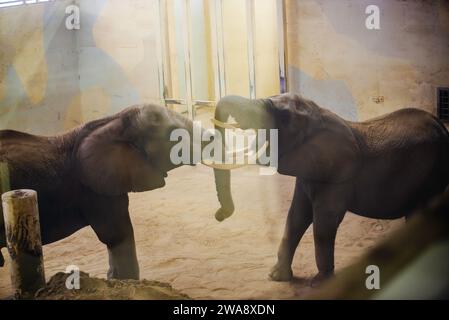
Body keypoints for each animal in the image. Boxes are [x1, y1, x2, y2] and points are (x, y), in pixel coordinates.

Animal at [209, 92, 448, 284]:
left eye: (284, 117)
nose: (219, 215)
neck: (320, 116)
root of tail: (442, 128)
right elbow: (296, 217)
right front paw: (276, 277)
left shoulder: (337, 176)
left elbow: (323, 223)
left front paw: (320, 283)